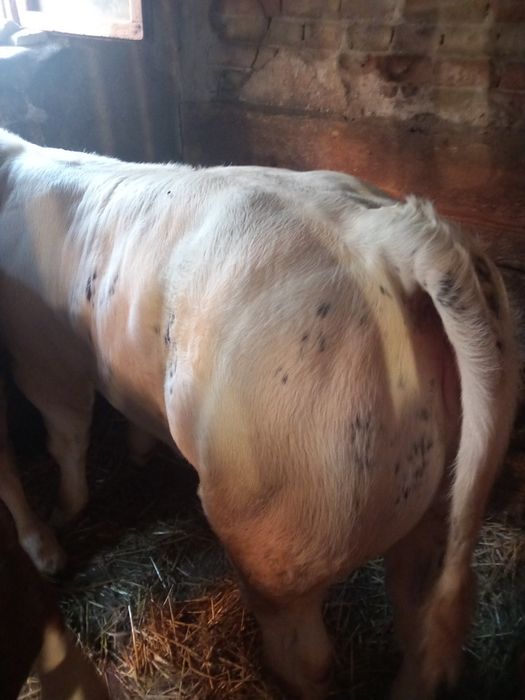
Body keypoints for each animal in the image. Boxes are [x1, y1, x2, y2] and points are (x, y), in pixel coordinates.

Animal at [0, 128, 519, 699]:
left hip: (275, 529)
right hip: (435, 499)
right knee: (417, 620)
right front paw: (137, 452)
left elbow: (66, 439)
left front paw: (62, 516)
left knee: (307, 654)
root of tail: (389, 234)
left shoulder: (42, 358)